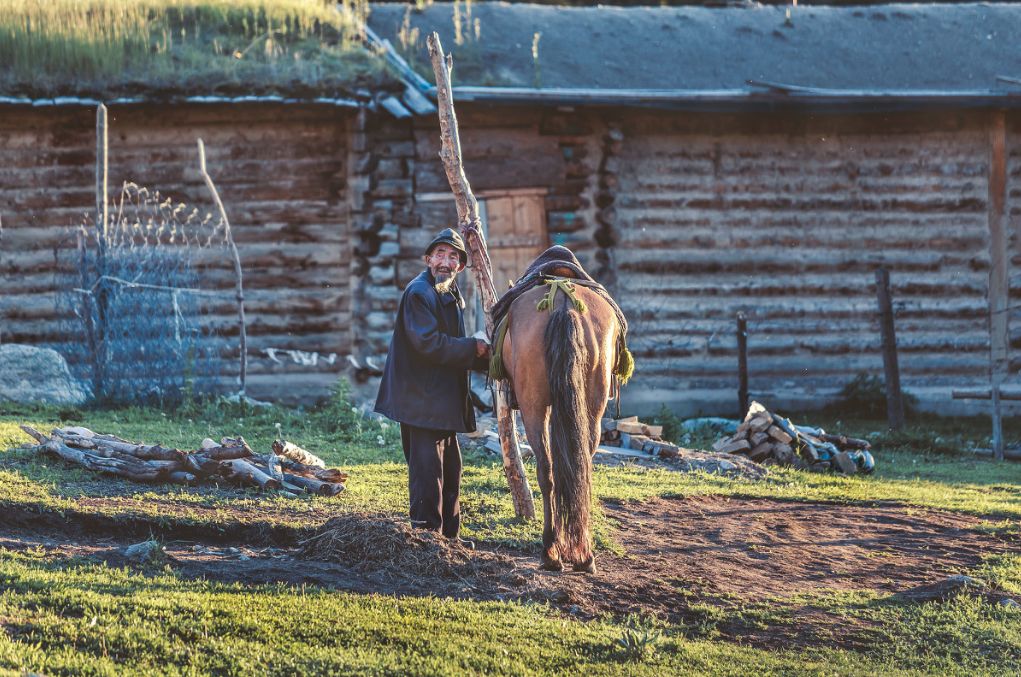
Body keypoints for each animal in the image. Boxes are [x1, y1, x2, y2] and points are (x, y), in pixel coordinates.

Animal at [502, 279, 620, 571]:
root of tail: (564, 304)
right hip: (593, 405)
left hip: (533, 406)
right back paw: (582, 554)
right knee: (579, 468)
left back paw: (550, 550)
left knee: (546, 470)